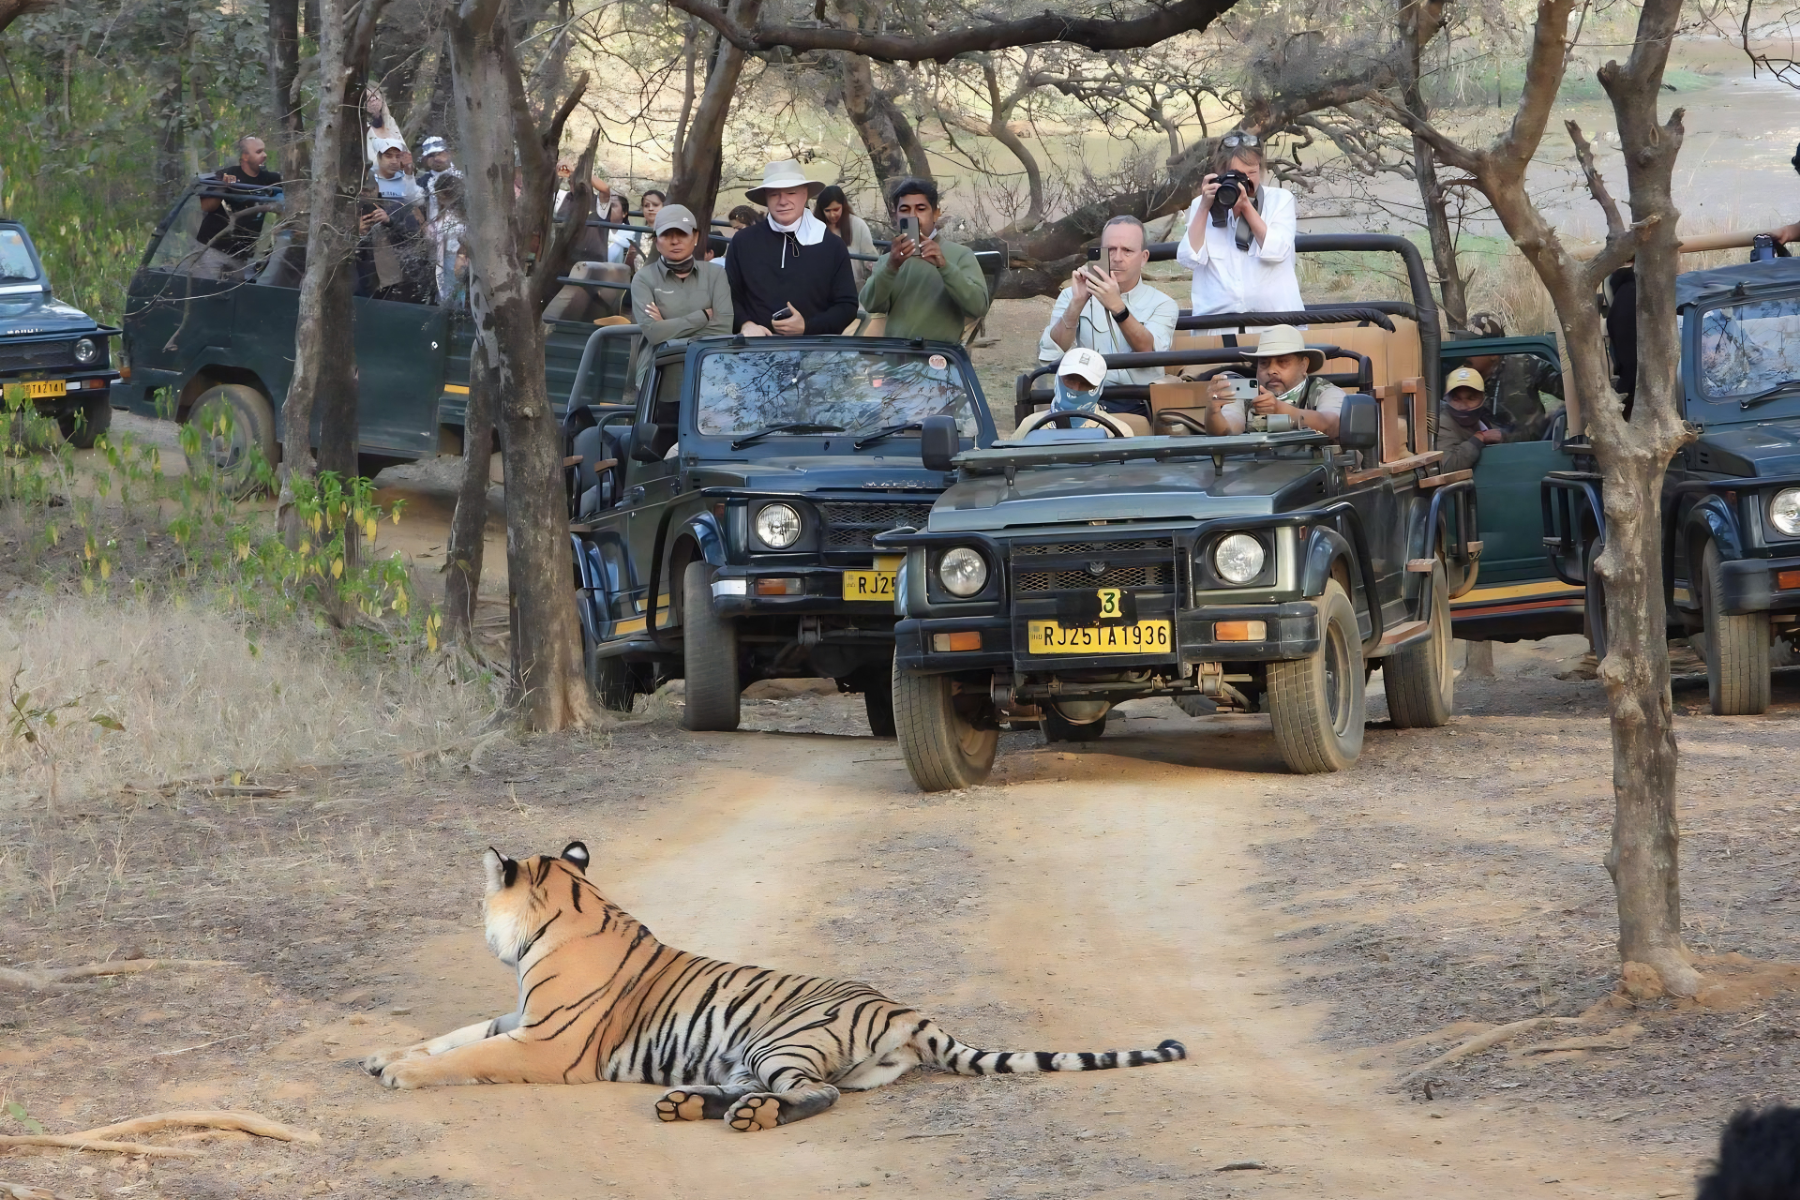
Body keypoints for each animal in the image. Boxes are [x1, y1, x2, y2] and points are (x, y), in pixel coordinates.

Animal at [361, 841, 1186, 1131]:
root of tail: (910, 1011)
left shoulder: (547, 1046)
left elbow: (468, 1055)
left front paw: (402, 1074)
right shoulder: (519, 1019)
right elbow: (457, 1033)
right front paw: (382, 1056)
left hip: (780, 1040)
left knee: (811, 1097)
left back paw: (743, 1117)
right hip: (748, 1054)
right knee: (764, 1090)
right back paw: (689, 1103)